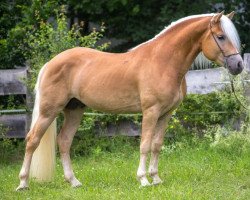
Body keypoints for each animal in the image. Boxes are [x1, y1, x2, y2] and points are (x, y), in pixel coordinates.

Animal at [15, 11, 242, 191]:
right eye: (221, 36)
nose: (238, 65)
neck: (163, 61)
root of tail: (50, 63)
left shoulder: (166, 114)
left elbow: (157, 145)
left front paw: (156, 179)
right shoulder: (150, 111)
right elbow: (145, 144)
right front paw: (143, 180)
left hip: (74, 110)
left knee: (64, 141)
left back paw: (74, 182)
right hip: (49, 111)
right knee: (32, 140)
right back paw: (23, 184)